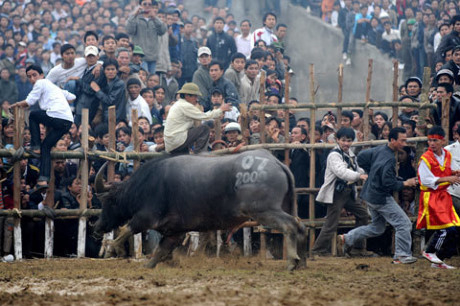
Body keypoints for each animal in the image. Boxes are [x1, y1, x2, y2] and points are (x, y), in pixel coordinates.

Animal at [95, 149, 308, 268]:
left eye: (106, 203)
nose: (97, 227)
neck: (145, 185)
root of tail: (277, 163)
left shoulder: (147, 217)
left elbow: (127, 229)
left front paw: (112, 247)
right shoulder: (175, 231)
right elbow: (162, 250)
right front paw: (148, 265)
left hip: (264, 211)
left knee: (290, 226)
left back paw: (292, 262)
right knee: (301, 226)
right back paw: (302, 262)